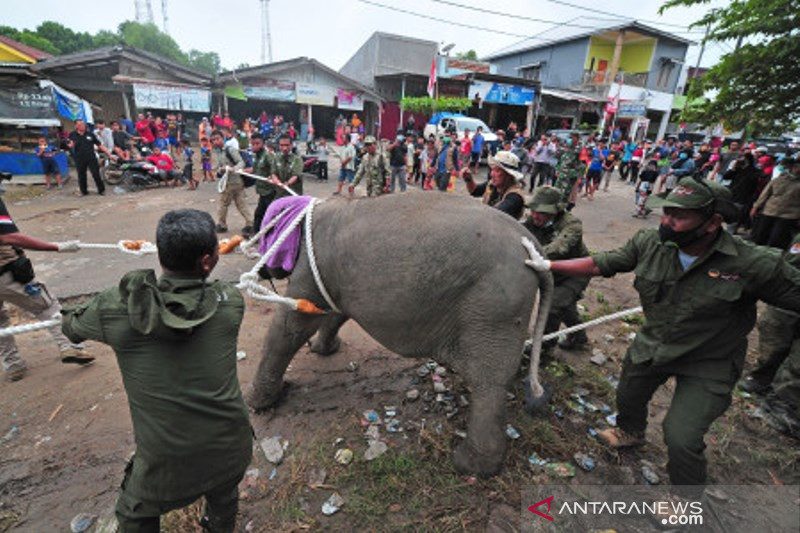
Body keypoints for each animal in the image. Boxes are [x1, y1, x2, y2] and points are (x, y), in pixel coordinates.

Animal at [248, 193, 552, 476]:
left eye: (262, 228)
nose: (263, 270)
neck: (311, 210)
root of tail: (535, 250)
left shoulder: (312, 266)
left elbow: (293, 326)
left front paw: (258, 404)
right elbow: (334, 312)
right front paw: (324, 349)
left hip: (494, 306)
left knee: (488, 379)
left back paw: (468, 466)